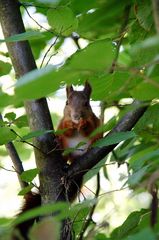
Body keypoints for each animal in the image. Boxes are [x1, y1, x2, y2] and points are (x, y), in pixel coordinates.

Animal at [13, 81, 100, 239]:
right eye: (67, 103)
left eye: (87, 103)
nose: (76, 116)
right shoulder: (62, 124)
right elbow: (66, 128)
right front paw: (70, 125)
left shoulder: (95, 121)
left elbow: (91, 127)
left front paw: (84, 124)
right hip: (65, 149)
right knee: (64, 152)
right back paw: (63, 158)